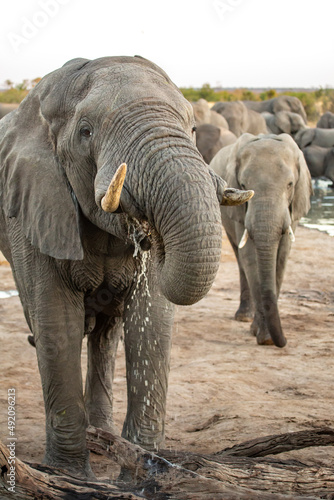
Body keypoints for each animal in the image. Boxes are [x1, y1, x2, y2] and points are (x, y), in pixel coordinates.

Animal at [0, 54, 252, 476]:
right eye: (85, 132)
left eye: (192, 128)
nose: (150, 233)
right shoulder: (34, 204)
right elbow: (57, 324)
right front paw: (68, 477)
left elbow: (150, 322)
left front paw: (144, 469)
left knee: (105, 335)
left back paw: (103, 438)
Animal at [210, 131, 312, 346]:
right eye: (243, 185)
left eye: (290, 185)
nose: (284, 341)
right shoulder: (240, 211)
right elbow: (249, 257)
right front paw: (264, 337)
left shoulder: (294, 207)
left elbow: (281, 257)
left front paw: (267, 339)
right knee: (240, 259)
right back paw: (243, 317)